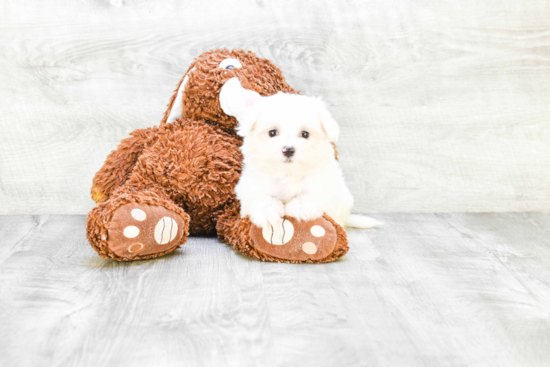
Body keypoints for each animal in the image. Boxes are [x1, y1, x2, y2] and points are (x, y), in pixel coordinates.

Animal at [218, 79, 382, 231]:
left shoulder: (326, 184)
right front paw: (267, 211)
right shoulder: (251, 183)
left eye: (305, 134)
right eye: (272, 132)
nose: (288, 149)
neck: (288, 172)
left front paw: (300, 207)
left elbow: (315, 195)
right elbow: (258, 195)